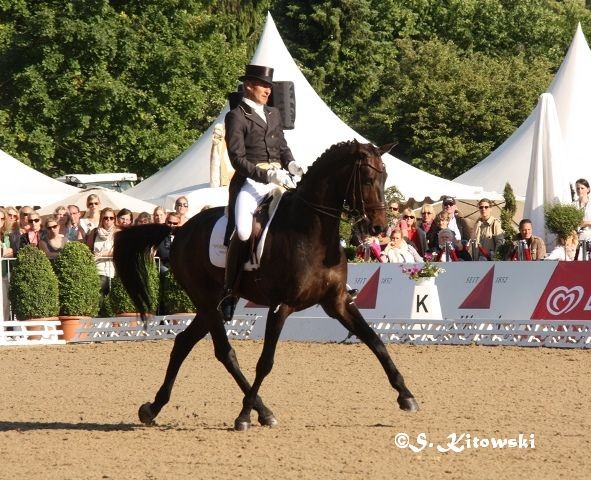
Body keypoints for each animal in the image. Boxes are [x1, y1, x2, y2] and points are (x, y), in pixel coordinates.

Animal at [114, 140, 420, 432]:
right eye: (367, 179)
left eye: (385, 177)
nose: (379, 228)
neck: (313, 233)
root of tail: (179, 230)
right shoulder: (280, 307)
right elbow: (265, 362)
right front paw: (243, 417)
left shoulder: (337, 303)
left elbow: (375, 341)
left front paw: (406, 395)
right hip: (208, 302)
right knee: (225, 353)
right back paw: (259, 411)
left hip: (208, 307)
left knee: (183, 343)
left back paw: (154, 408)